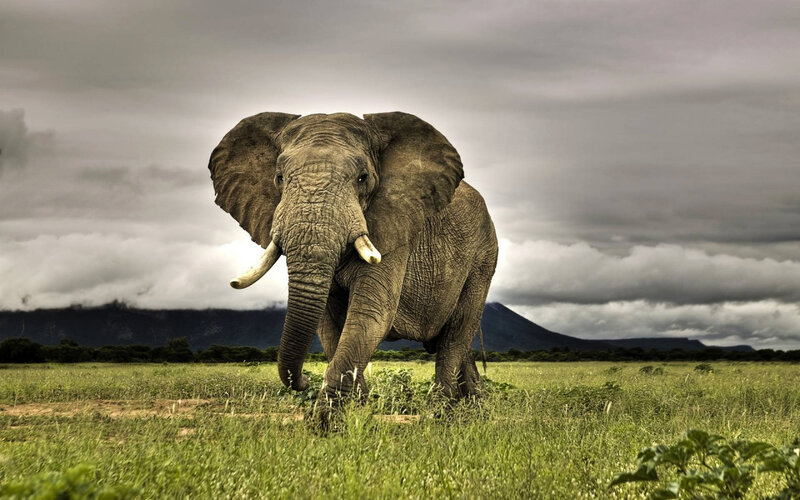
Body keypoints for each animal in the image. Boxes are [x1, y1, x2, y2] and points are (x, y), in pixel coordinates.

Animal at [209, 111, 498, 417]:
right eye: (279, 178)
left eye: (363, 178)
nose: (302, 381)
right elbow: (328, 325)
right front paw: (358, 411)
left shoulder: (395, 227)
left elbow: (371, 314)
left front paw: (327, 422)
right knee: (454, 343)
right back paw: (473, 410)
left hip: (483, 258)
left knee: (456, 335)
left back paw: (441, 415)